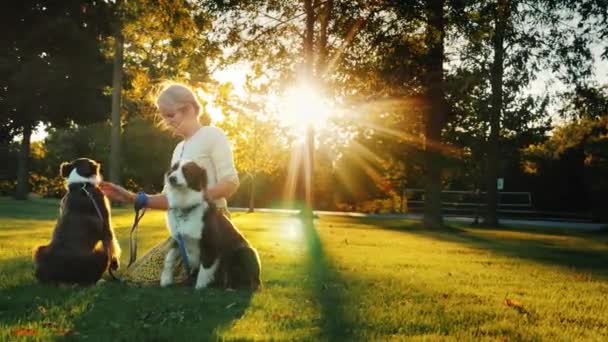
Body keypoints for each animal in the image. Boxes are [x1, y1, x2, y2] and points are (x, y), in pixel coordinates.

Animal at [32, 158, 120, 286]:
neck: (81, 184)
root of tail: (61, 279)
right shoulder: (106, 224)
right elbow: (112, 244)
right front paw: (115, 264)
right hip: (101, 254)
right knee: (90, 280)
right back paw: (100, 281)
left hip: (40, 250)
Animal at [160, 160, 260, 288]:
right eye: (173, 169)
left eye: (186, 170)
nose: (171, 178)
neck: (186, 206)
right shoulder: (178, 239)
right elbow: (169, 258)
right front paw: (166, 279)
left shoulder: (210, 243)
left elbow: (205, 266)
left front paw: (199, 286)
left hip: (245, 251)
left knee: (249, 281)